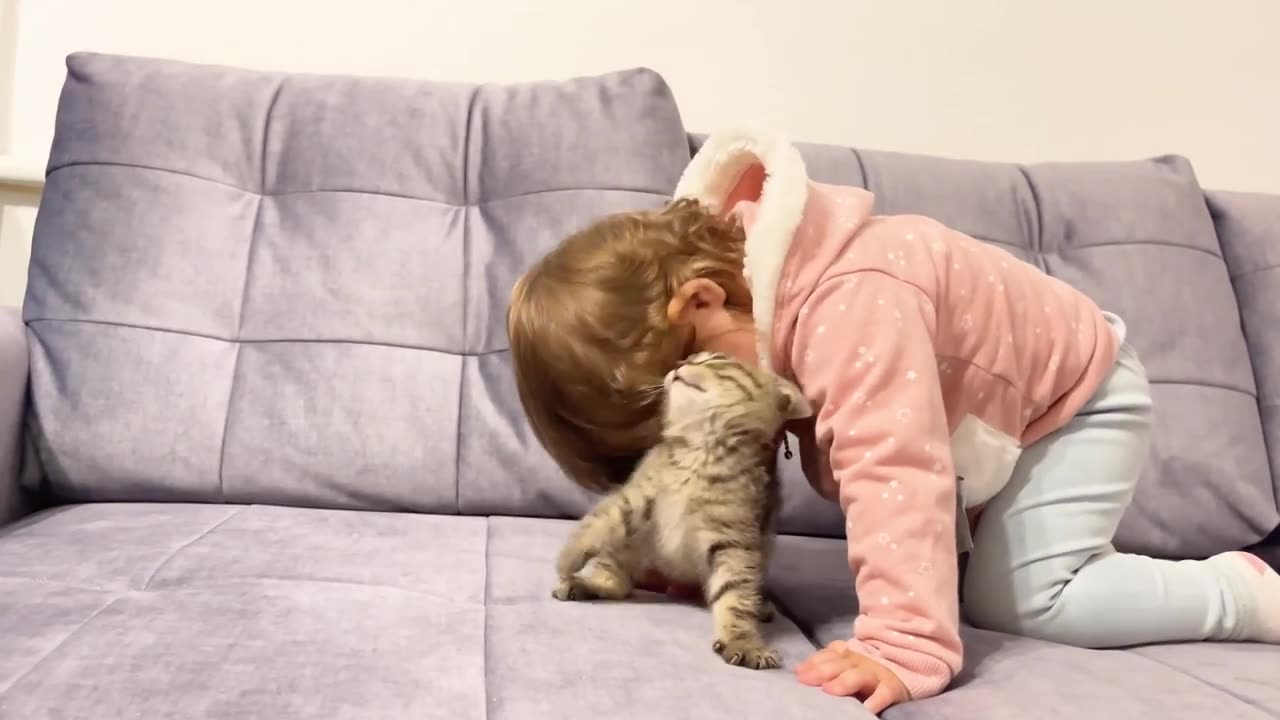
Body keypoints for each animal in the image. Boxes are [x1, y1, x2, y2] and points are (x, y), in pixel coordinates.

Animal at [550, 351, 808, 671]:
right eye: (692, 357)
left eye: (715, 360)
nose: (678, 364)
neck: (702, 449)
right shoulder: (636, 497)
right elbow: (598, 521)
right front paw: (568, 558)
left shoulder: (734, 540)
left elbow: (736, 593)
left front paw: (742, 639)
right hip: (633, 544)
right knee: (617, 579)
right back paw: (589, 583)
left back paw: (762, 606)